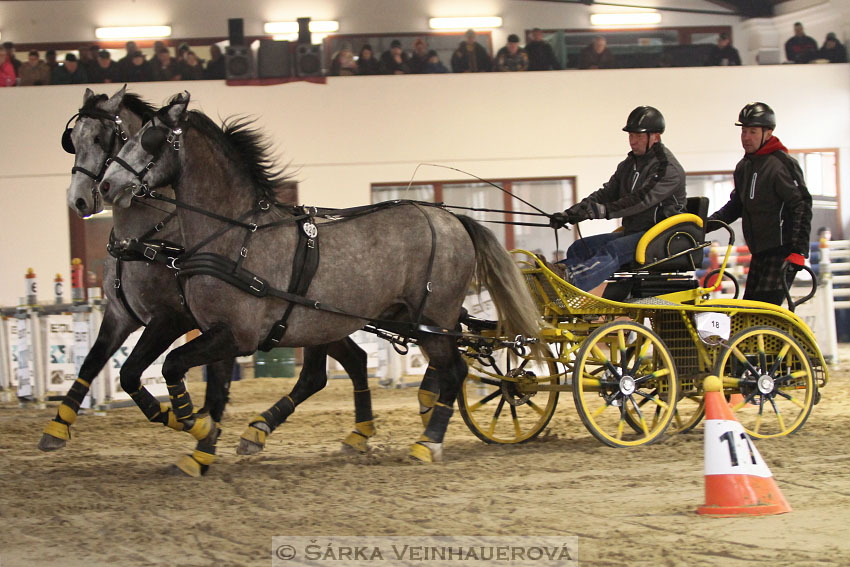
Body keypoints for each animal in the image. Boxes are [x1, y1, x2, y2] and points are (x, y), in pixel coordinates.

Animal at [99, 93, 536, 474]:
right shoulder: (215, 331)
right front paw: (200, 450)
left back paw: (428, 442)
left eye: (149, 139)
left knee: (455, 370)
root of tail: (451, 219)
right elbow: (206, 385)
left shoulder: (236, 335)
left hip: (433, 319)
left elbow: (173, 365)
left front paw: (194, 424)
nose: (105, 184)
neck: (236, 235)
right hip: (383, 319)